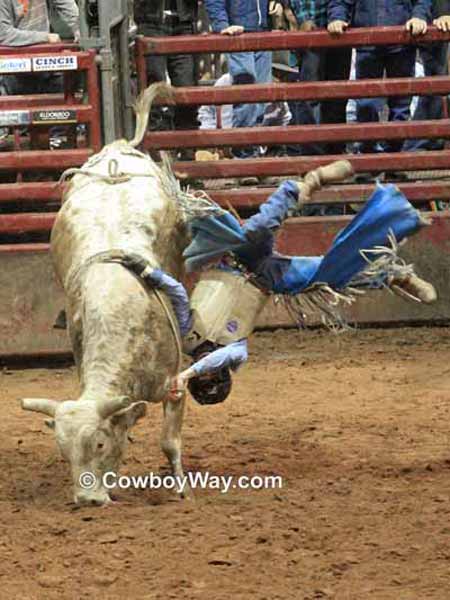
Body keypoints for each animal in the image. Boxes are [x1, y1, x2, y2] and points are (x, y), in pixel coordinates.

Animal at [21, 83, 195, 506]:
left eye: (98, 444)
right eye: (63, 450)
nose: (88, 500)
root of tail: (116, 150)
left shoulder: (174, 385)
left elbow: (169, 441)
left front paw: (180, 487)